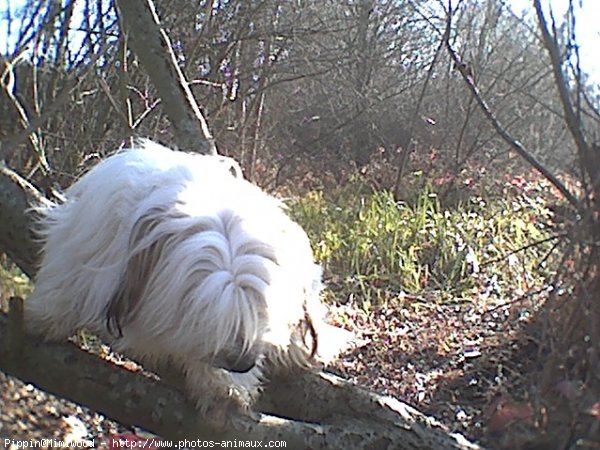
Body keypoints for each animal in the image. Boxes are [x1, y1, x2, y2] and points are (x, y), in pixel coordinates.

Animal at [25, 141, 350, 422]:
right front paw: (49, 317)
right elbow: (69, 278)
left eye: (261, 311)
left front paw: (224, 386)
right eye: (208, 312)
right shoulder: (91, 241)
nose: (242, 363)